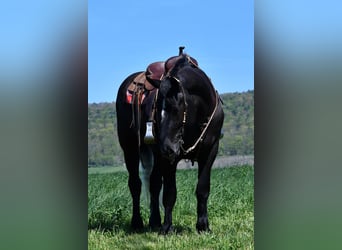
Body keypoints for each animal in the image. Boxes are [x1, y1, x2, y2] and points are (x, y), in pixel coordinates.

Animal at [117, 51, 224, 233]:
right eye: (155, 107)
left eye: (176, 109)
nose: (166, 147)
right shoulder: (169, 159)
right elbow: (169, 193)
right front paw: (167, 227)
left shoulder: (210, 151)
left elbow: (202, 189)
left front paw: (203, 226)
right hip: (130, 149)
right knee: (135, 185)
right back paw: (137, 222)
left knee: (153, 184)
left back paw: (154, 221)